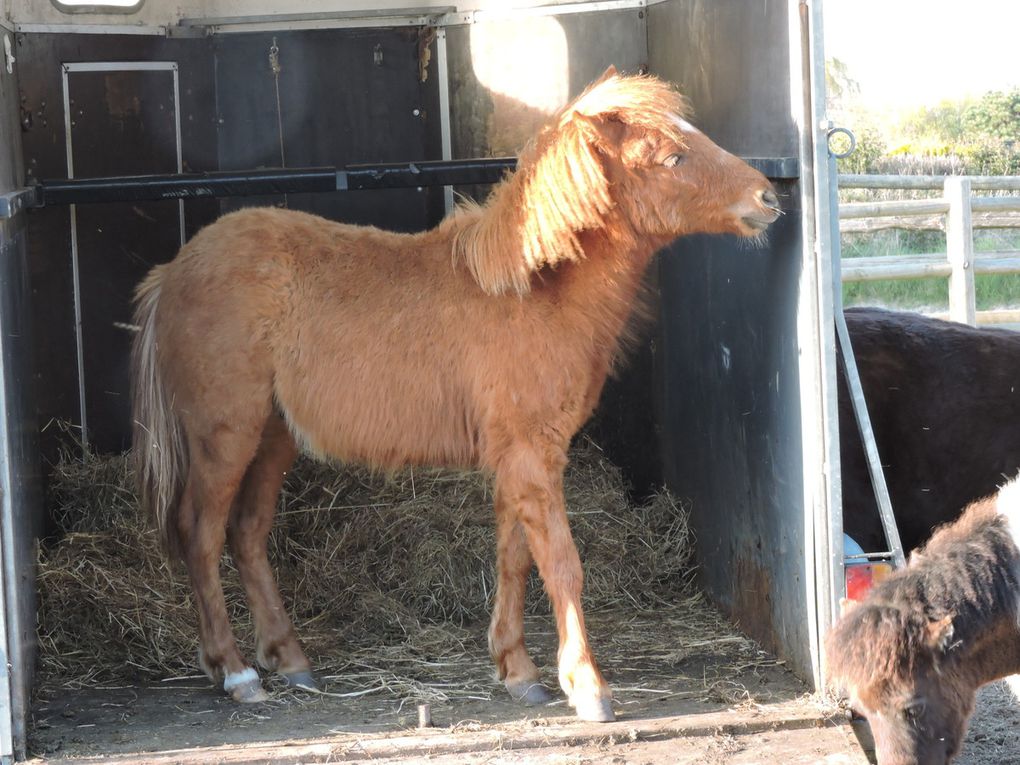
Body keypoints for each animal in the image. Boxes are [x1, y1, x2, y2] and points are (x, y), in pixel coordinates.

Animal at [131, 68, 775, 722]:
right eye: (673, 157)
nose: (768, 198)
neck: (531, 291)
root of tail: (173, 273)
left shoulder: (519, 458)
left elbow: (516, 557)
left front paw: (518, 671)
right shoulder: (533, 455)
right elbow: (561, 563)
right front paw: (587, 686)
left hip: (272, 437)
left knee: (247, 533)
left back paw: (289, 660)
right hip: (225, 436)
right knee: (201, 535)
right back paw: (235, 672)